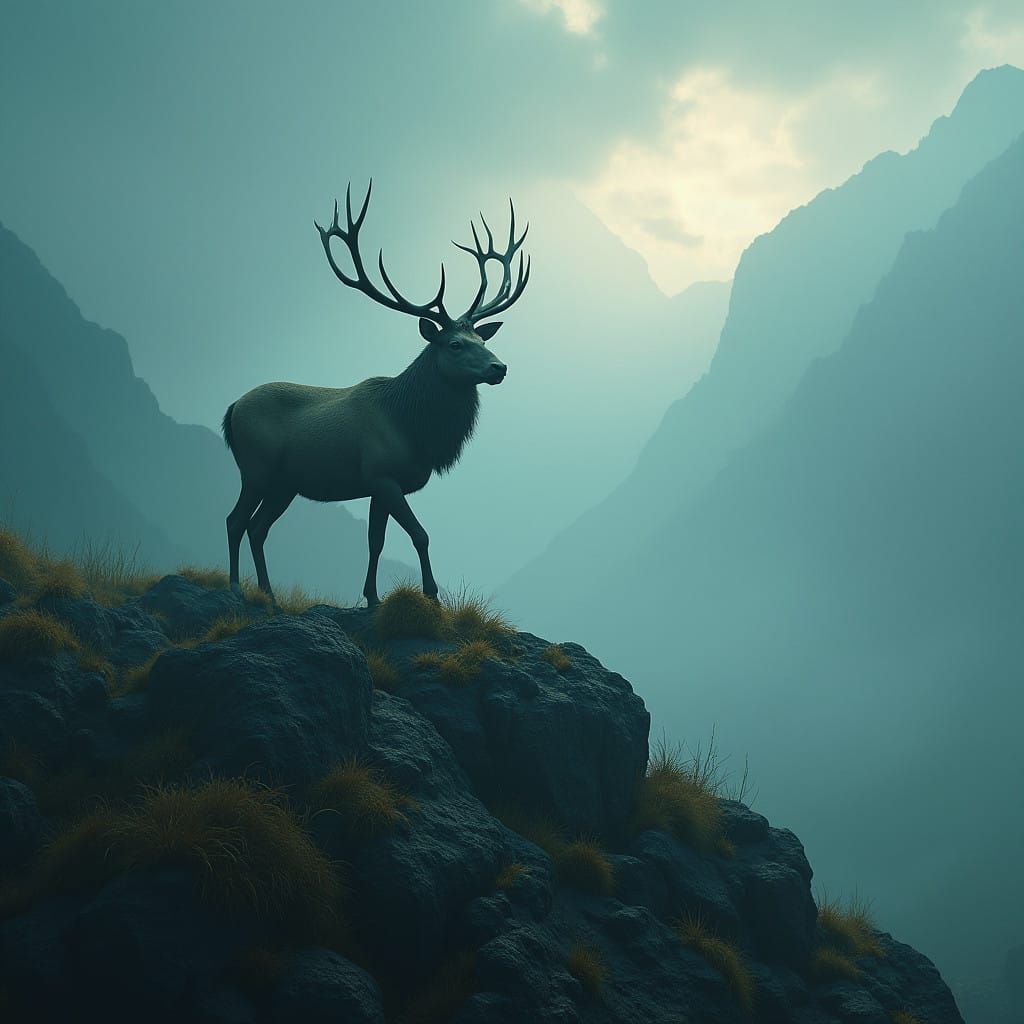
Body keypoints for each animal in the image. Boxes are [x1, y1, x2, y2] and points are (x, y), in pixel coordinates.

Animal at [221, 181, 531, 607]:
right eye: (454, 344)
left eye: (482, 339)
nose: (499, 368)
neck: (415, 429)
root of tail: (232, 408)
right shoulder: (382, 475)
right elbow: (419, 534)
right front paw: (431, 597)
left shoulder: (377, 486)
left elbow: (376, 541)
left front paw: (371, 598)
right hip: (256, 468)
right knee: (235, 520)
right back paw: (236, 587)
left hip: (285, 483)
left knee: (258, 527)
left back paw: (268, 594)